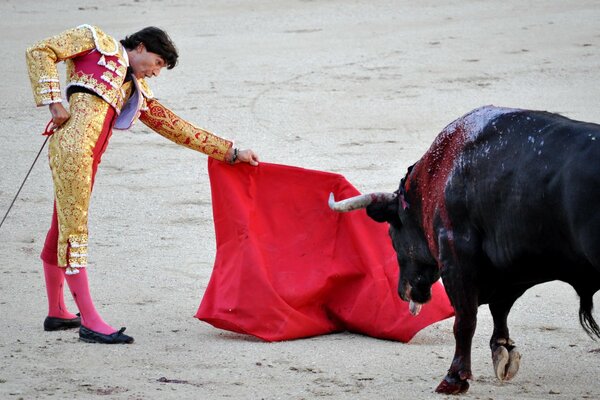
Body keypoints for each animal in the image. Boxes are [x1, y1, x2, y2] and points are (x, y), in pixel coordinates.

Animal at [328, 105, 600, 394]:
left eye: (392, 235)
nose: (403, 292)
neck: (436, 176)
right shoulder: (512, 270)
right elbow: (500, 307)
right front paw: (502, 351)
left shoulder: (457, 261)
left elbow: (465, 319)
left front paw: (454, 378)